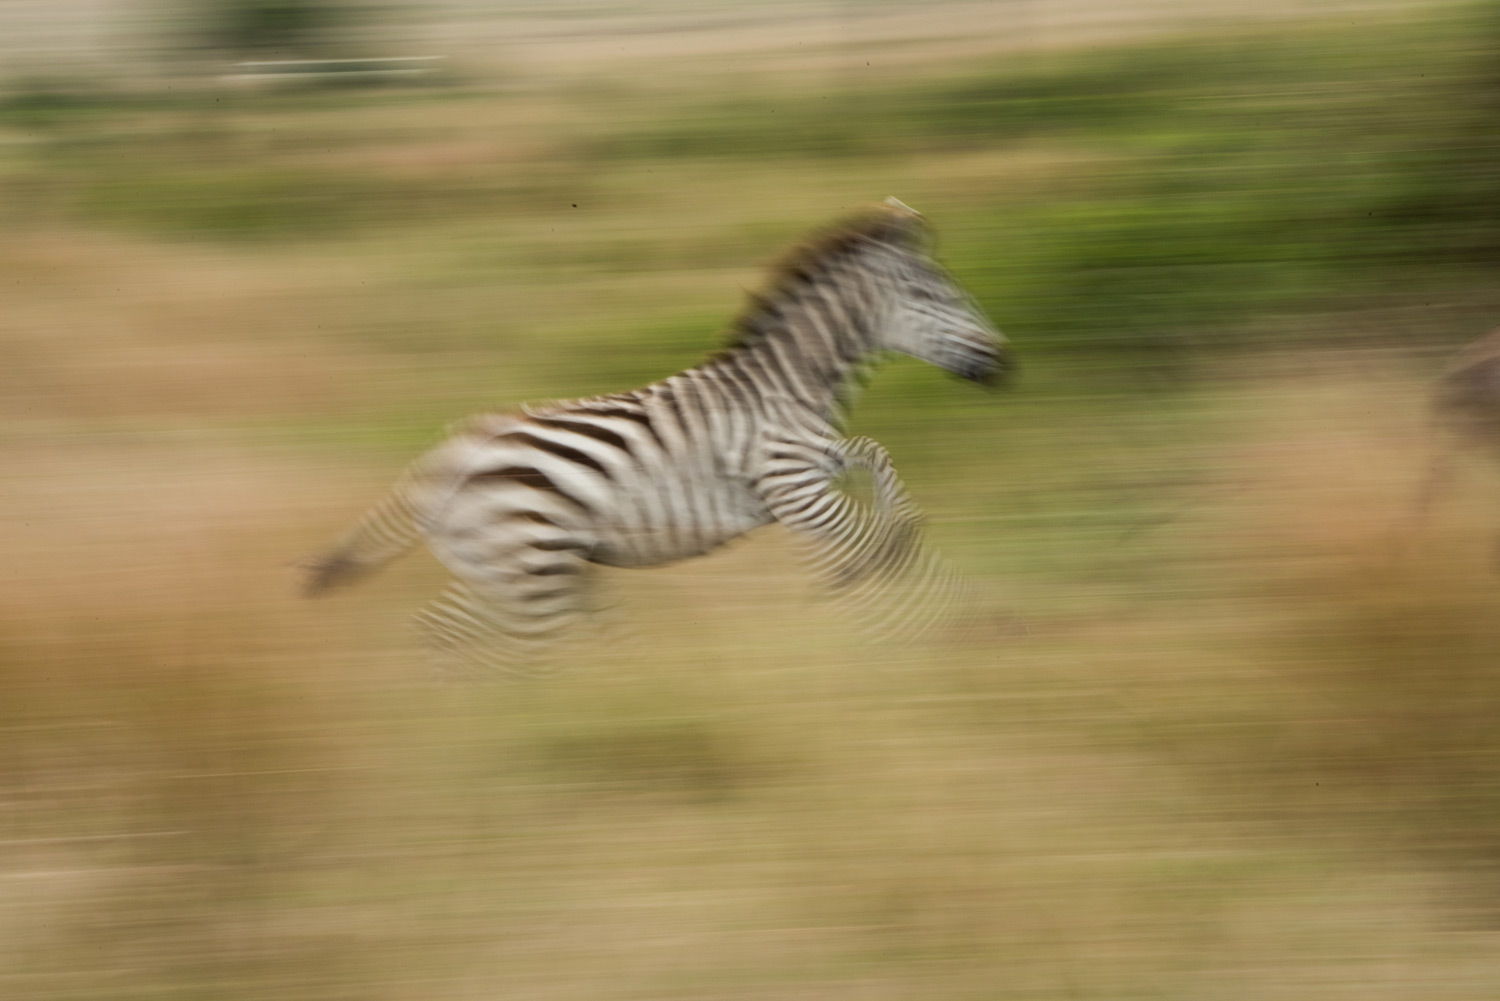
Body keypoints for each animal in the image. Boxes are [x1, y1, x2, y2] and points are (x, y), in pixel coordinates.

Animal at [303, 199, 1008, 672]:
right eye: (936, 295)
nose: (1006, 365)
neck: (786, 386)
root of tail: (440, 459)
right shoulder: (797, 492)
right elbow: (865, 545)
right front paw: (912, 617)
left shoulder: (810, 469)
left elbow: (876, 460)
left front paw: (906, 551)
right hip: (529, 561)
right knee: (529, 648)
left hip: (514, 564)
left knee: (443, 629)